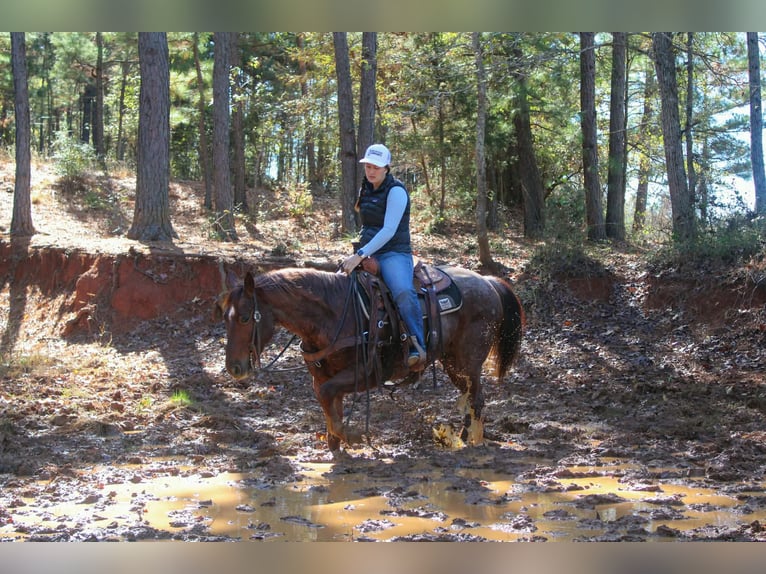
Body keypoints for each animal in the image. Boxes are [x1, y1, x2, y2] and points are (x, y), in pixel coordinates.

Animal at [215, 264, 524, 456]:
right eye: (224, 317)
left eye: (245, 317)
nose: (234, 368)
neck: (334, 314)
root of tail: (488, 282)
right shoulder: (323, 376)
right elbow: (329, 401)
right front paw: (335, 442)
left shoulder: (368, 373)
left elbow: (328, 395)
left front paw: (347, 436)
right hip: (453, 364)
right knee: (470, 397)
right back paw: (463, 437)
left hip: (467, 362)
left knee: (476, 398)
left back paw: (471, 440)